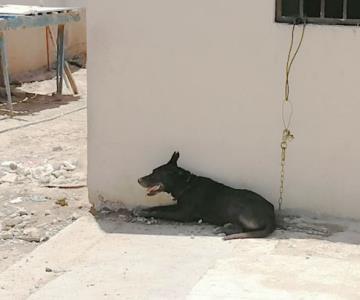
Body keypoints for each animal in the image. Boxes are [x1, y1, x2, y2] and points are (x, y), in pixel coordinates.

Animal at [136, 151, 274, 240]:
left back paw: (224, 229)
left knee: (242, 228)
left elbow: (161, 211)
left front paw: (142, 212)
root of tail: (271, 217)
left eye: (155, 173)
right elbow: (158, 207)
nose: (138, 179)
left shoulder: (182, 213)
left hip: (237, 206)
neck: (186, 185)